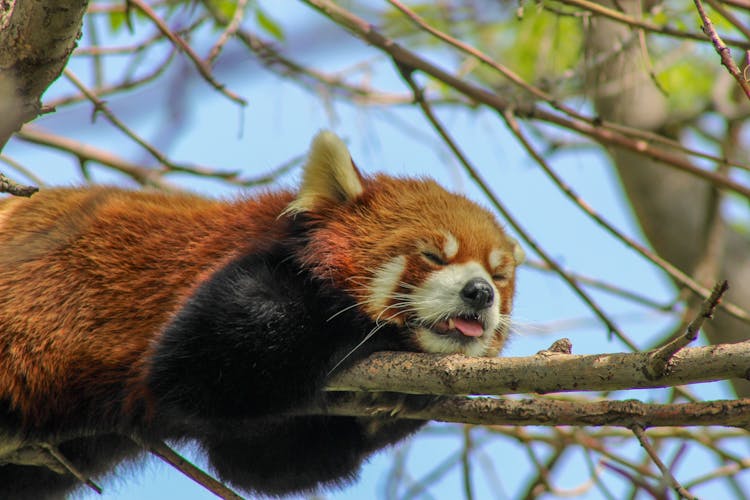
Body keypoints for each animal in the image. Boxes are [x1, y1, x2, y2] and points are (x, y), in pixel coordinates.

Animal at [0, 131, 524, 498]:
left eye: (499, 276)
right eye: (433, 256)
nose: (480, 293)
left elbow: (262, 460)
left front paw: (402, 401)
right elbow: (199, 362)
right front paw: (372, 334)